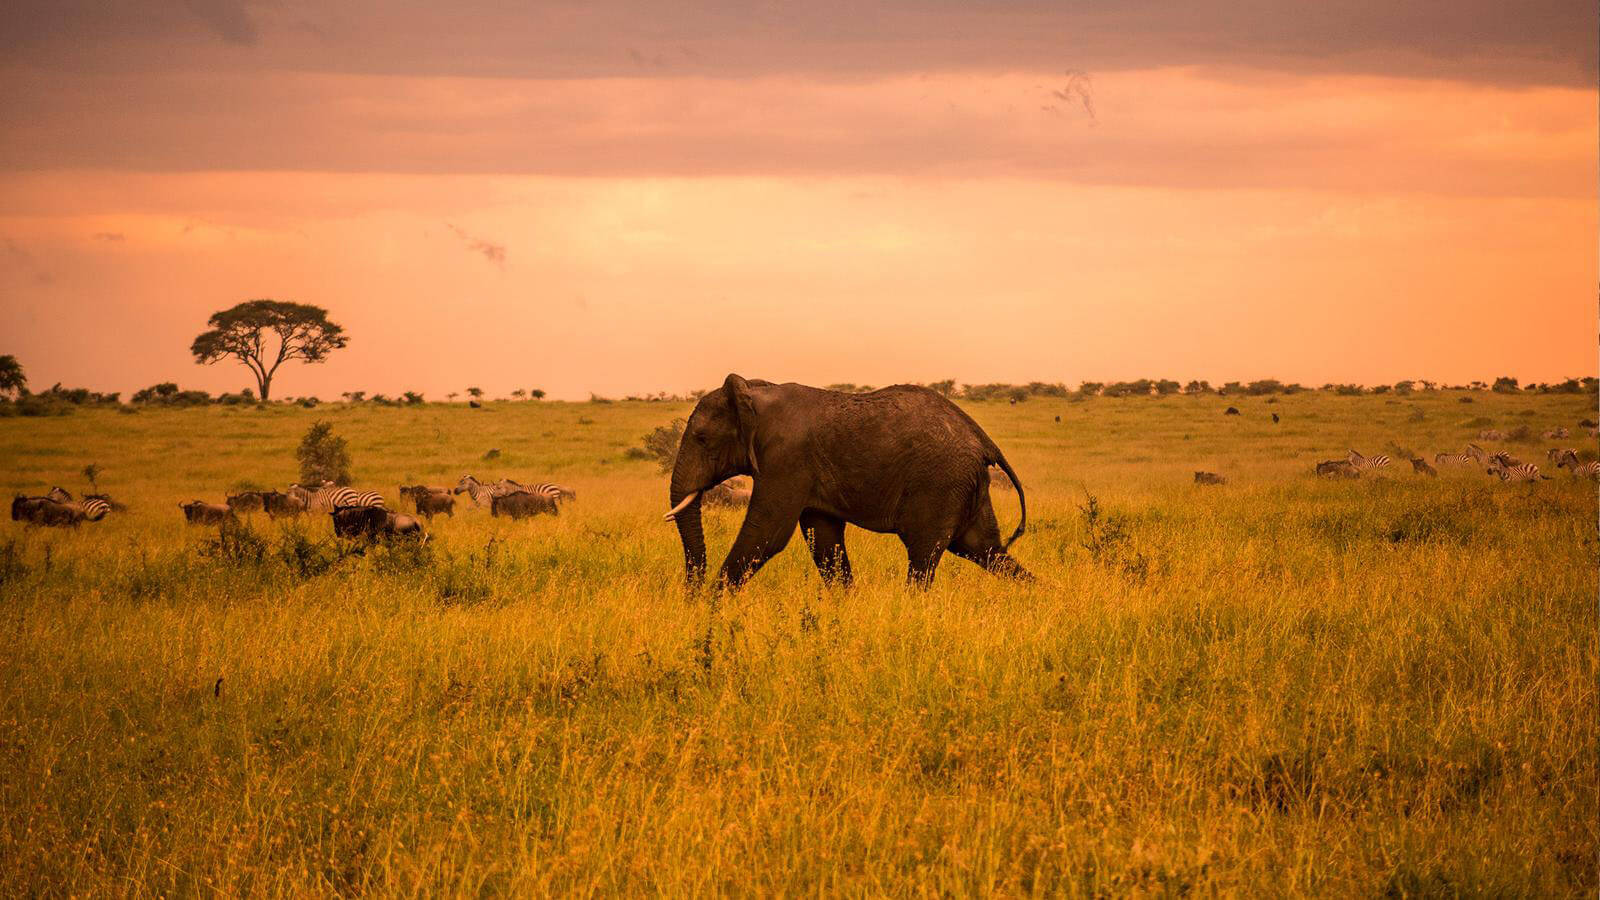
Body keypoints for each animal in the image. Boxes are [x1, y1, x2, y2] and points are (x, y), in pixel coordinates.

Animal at [659, 373, 1024, 589]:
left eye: (702, 438)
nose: (690, 593)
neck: (754, 392)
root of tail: (984, 439)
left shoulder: (785, 459)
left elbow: (766, 534)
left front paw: (711, 607)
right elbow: (824, 541)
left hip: (940, 483)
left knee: (924, 557)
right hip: (965, 485)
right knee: (985, 550)